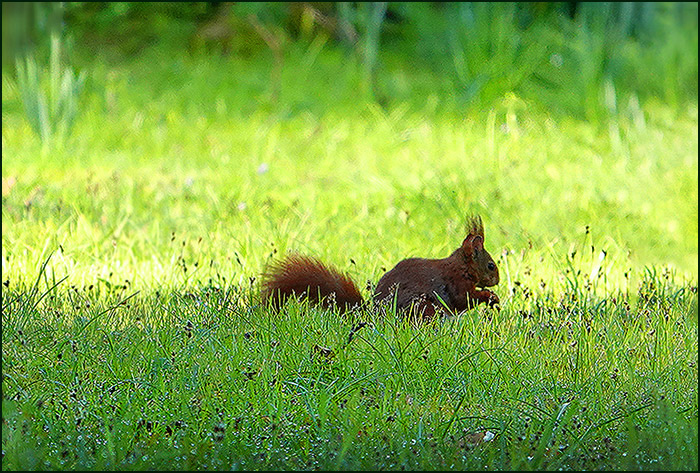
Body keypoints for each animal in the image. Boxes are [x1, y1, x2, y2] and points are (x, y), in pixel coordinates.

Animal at [260, 215, 500, 322]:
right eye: (490, 265)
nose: (497, 280)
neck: (462, 266)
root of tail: (374, 315)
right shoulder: (456, 282)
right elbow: (463, 299)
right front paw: (489, 296)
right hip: (423, 308)